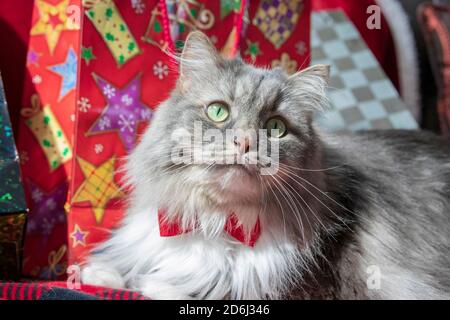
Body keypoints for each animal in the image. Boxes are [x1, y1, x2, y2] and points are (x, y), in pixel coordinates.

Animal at [81, 31, 450, 298]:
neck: (218, 223)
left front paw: (149, 284)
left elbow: (171, 288)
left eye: (275, 127)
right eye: (218, 111)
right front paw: (102, 273)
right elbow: (120, 270)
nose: (244, 142)